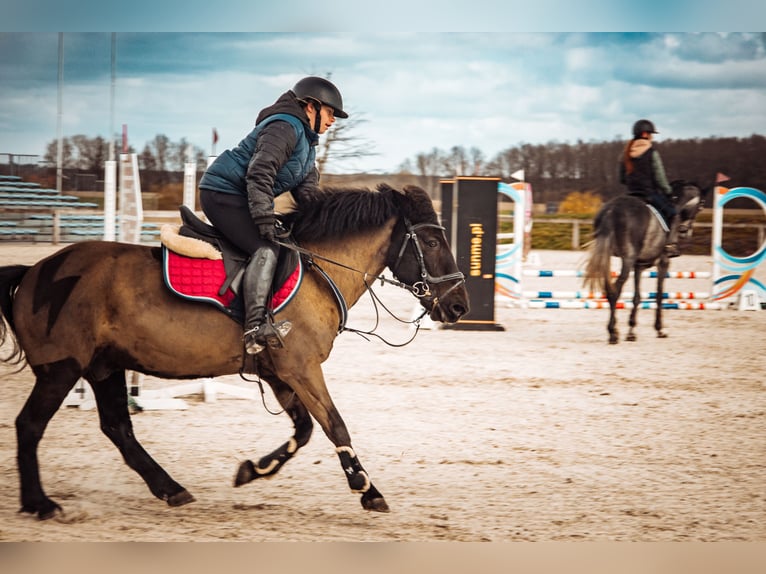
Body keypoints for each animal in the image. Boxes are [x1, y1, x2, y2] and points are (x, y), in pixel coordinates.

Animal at [0, 183, 470, 520]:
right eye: (430, 242)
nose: (459, 307)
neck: (319, 271)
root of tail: (35, 270)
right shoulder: (302, 369)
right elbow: (335, 426)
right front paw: (367, 490)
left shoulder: (278, 372)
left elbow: (304, 430)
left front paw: (254, 470)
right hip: (62, 369)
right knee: (30, 425)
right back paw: (40, 503)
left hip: (104, 367)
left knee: (118, 428)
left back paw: (170, 489)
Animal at [583, 180, 705, 344]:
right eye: (700, 206)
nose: (686, 232)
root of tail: (611, 210)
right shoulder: (663, 262)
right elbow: (659, 294)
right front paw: (660, 329)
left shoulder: (638, 266)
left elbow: (637, 297)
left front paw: (631, 331)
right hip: (627, 259)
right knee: (615, 290)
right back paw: (613, 333)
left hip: (608, 255)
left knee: (609, 289)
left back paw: (614, 331)